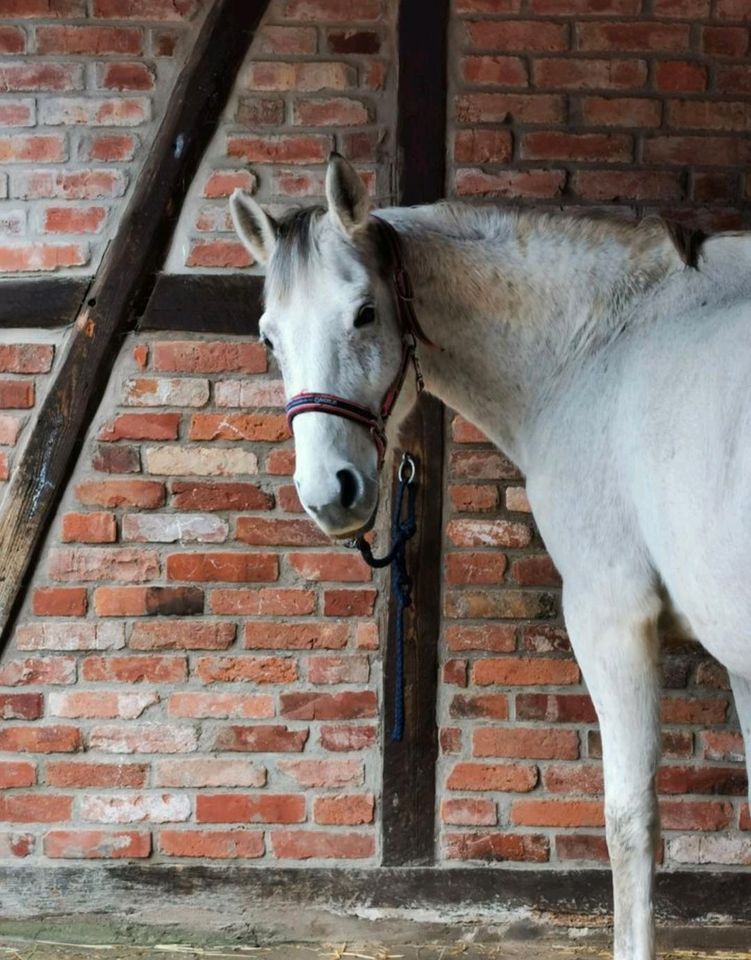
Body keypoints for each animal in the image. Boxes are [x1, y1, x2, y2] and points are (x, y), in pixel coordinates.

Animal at [232, 154, 748, 960]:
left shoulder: (612, 619)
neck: (603, 348)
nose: (329, 493)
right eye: (268, 339)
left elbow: (629, 821)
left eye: (365, 314)